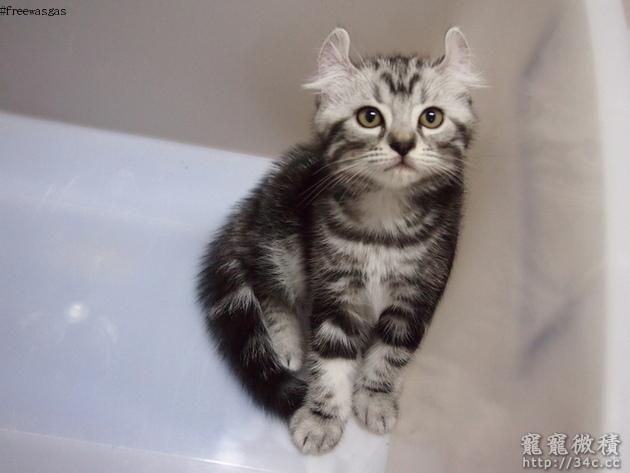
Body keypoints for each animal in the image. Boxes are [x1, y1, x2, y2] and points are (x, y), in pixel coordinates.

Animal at [197, 27, 482, 455]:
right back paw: (285, 343)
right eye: (370, 117)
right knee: (266, 286)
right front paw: (321, 417)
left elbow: (393, 350)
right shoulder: (333, 287)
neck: (384, 222)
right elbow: (329, 358)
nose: (402, 143)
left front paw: (376, 396)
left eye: (431, 117)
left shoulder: (419, 290)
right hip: (283, 240)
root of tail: (251, 209)